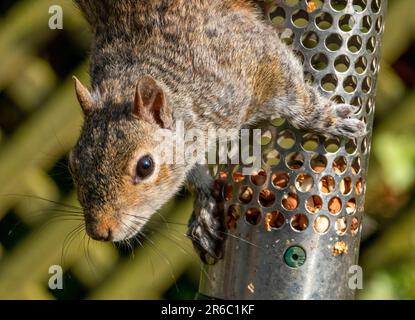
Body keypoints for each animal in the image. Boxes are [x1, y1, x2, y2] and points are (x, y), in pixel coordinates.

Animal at [70, 0, 366, 262]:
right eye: (73, 165)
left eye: (145, 166)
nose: (100, 232)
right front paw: (204, 212)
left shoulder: (255, 58)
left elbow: (295, 96)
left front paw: (326, 118)